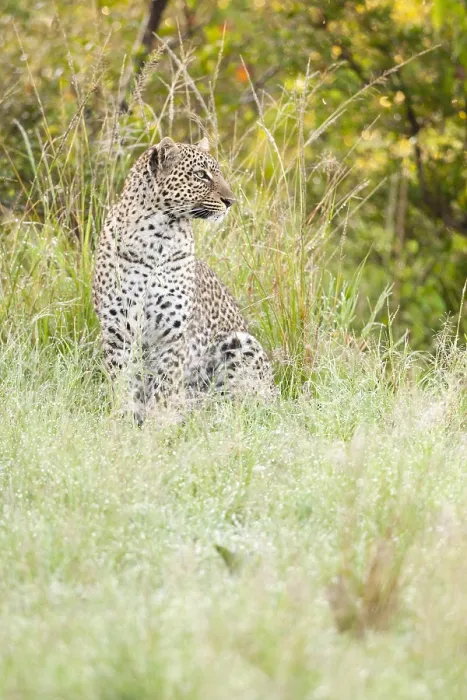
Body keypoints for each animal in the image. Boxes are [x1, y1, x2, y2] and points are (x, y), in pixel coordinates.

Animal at [93, 136, 275, 425]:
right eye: (201, 175)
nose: (231, 201)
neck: (155, 238)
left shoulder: (174, 334)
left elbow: (164, 384)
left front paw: (158, 424)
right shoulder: (117, 331)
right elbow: (122, 381)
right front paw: (123, 420)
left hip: (241, 344)